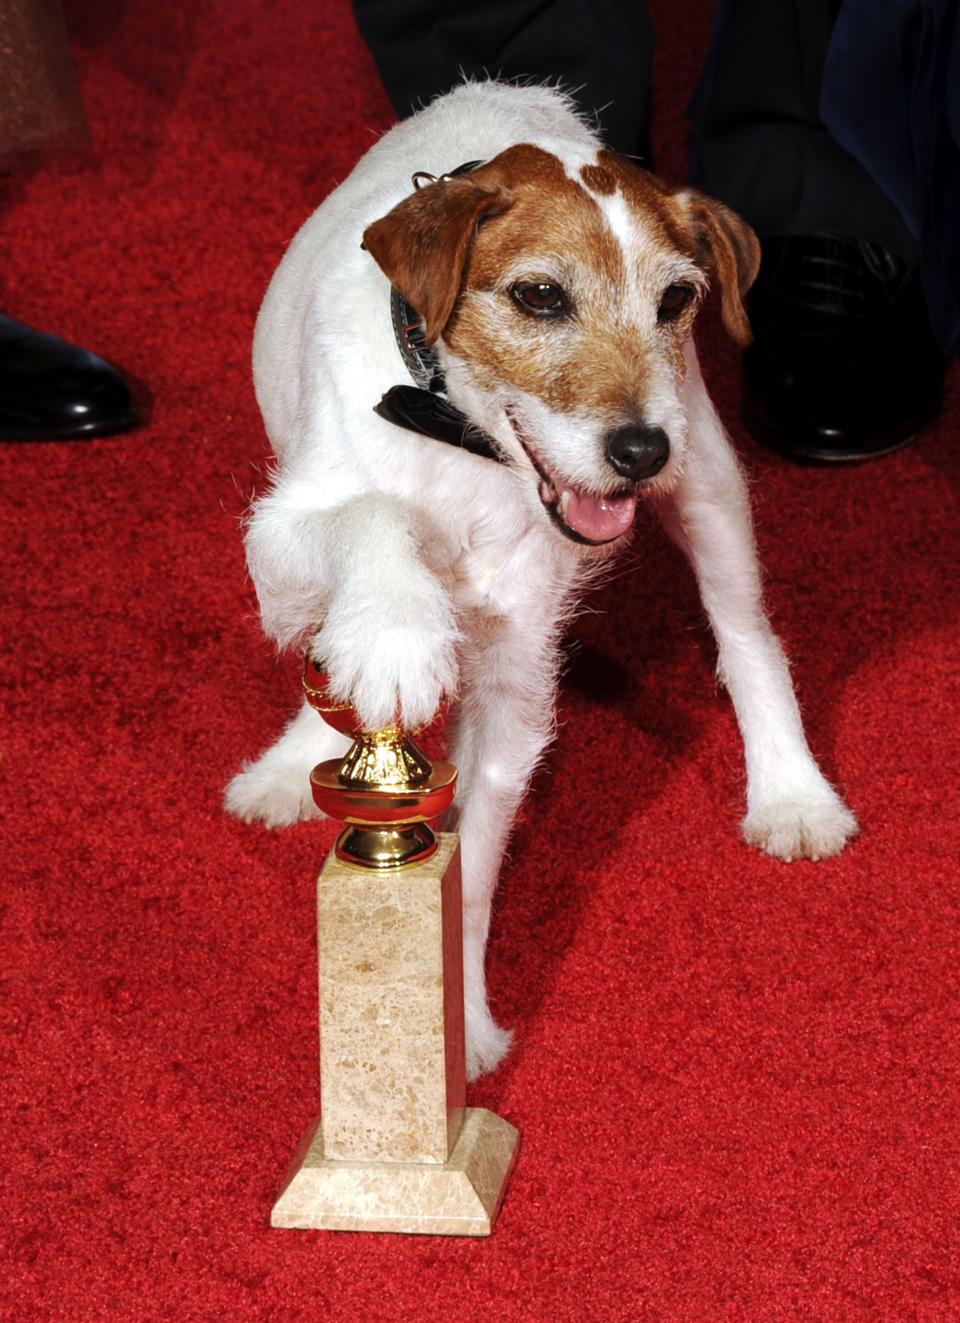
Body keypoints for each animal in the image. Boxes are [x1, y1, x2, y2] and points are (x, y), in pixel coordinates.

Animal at [228, 77, 862, 1079]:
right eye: (538, 295)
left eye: (676, 297)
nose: (640, 453)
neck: (460, 433)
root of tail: (510, 89)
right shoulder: (282, 536)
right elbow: (371, 524)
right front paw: (394, 634)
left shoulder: (515, 682)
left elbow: (473, 867)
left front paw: (461, 1022)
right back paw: (296, 754)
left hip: (710, 481)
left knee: (747, 636)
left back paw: (791, 790)